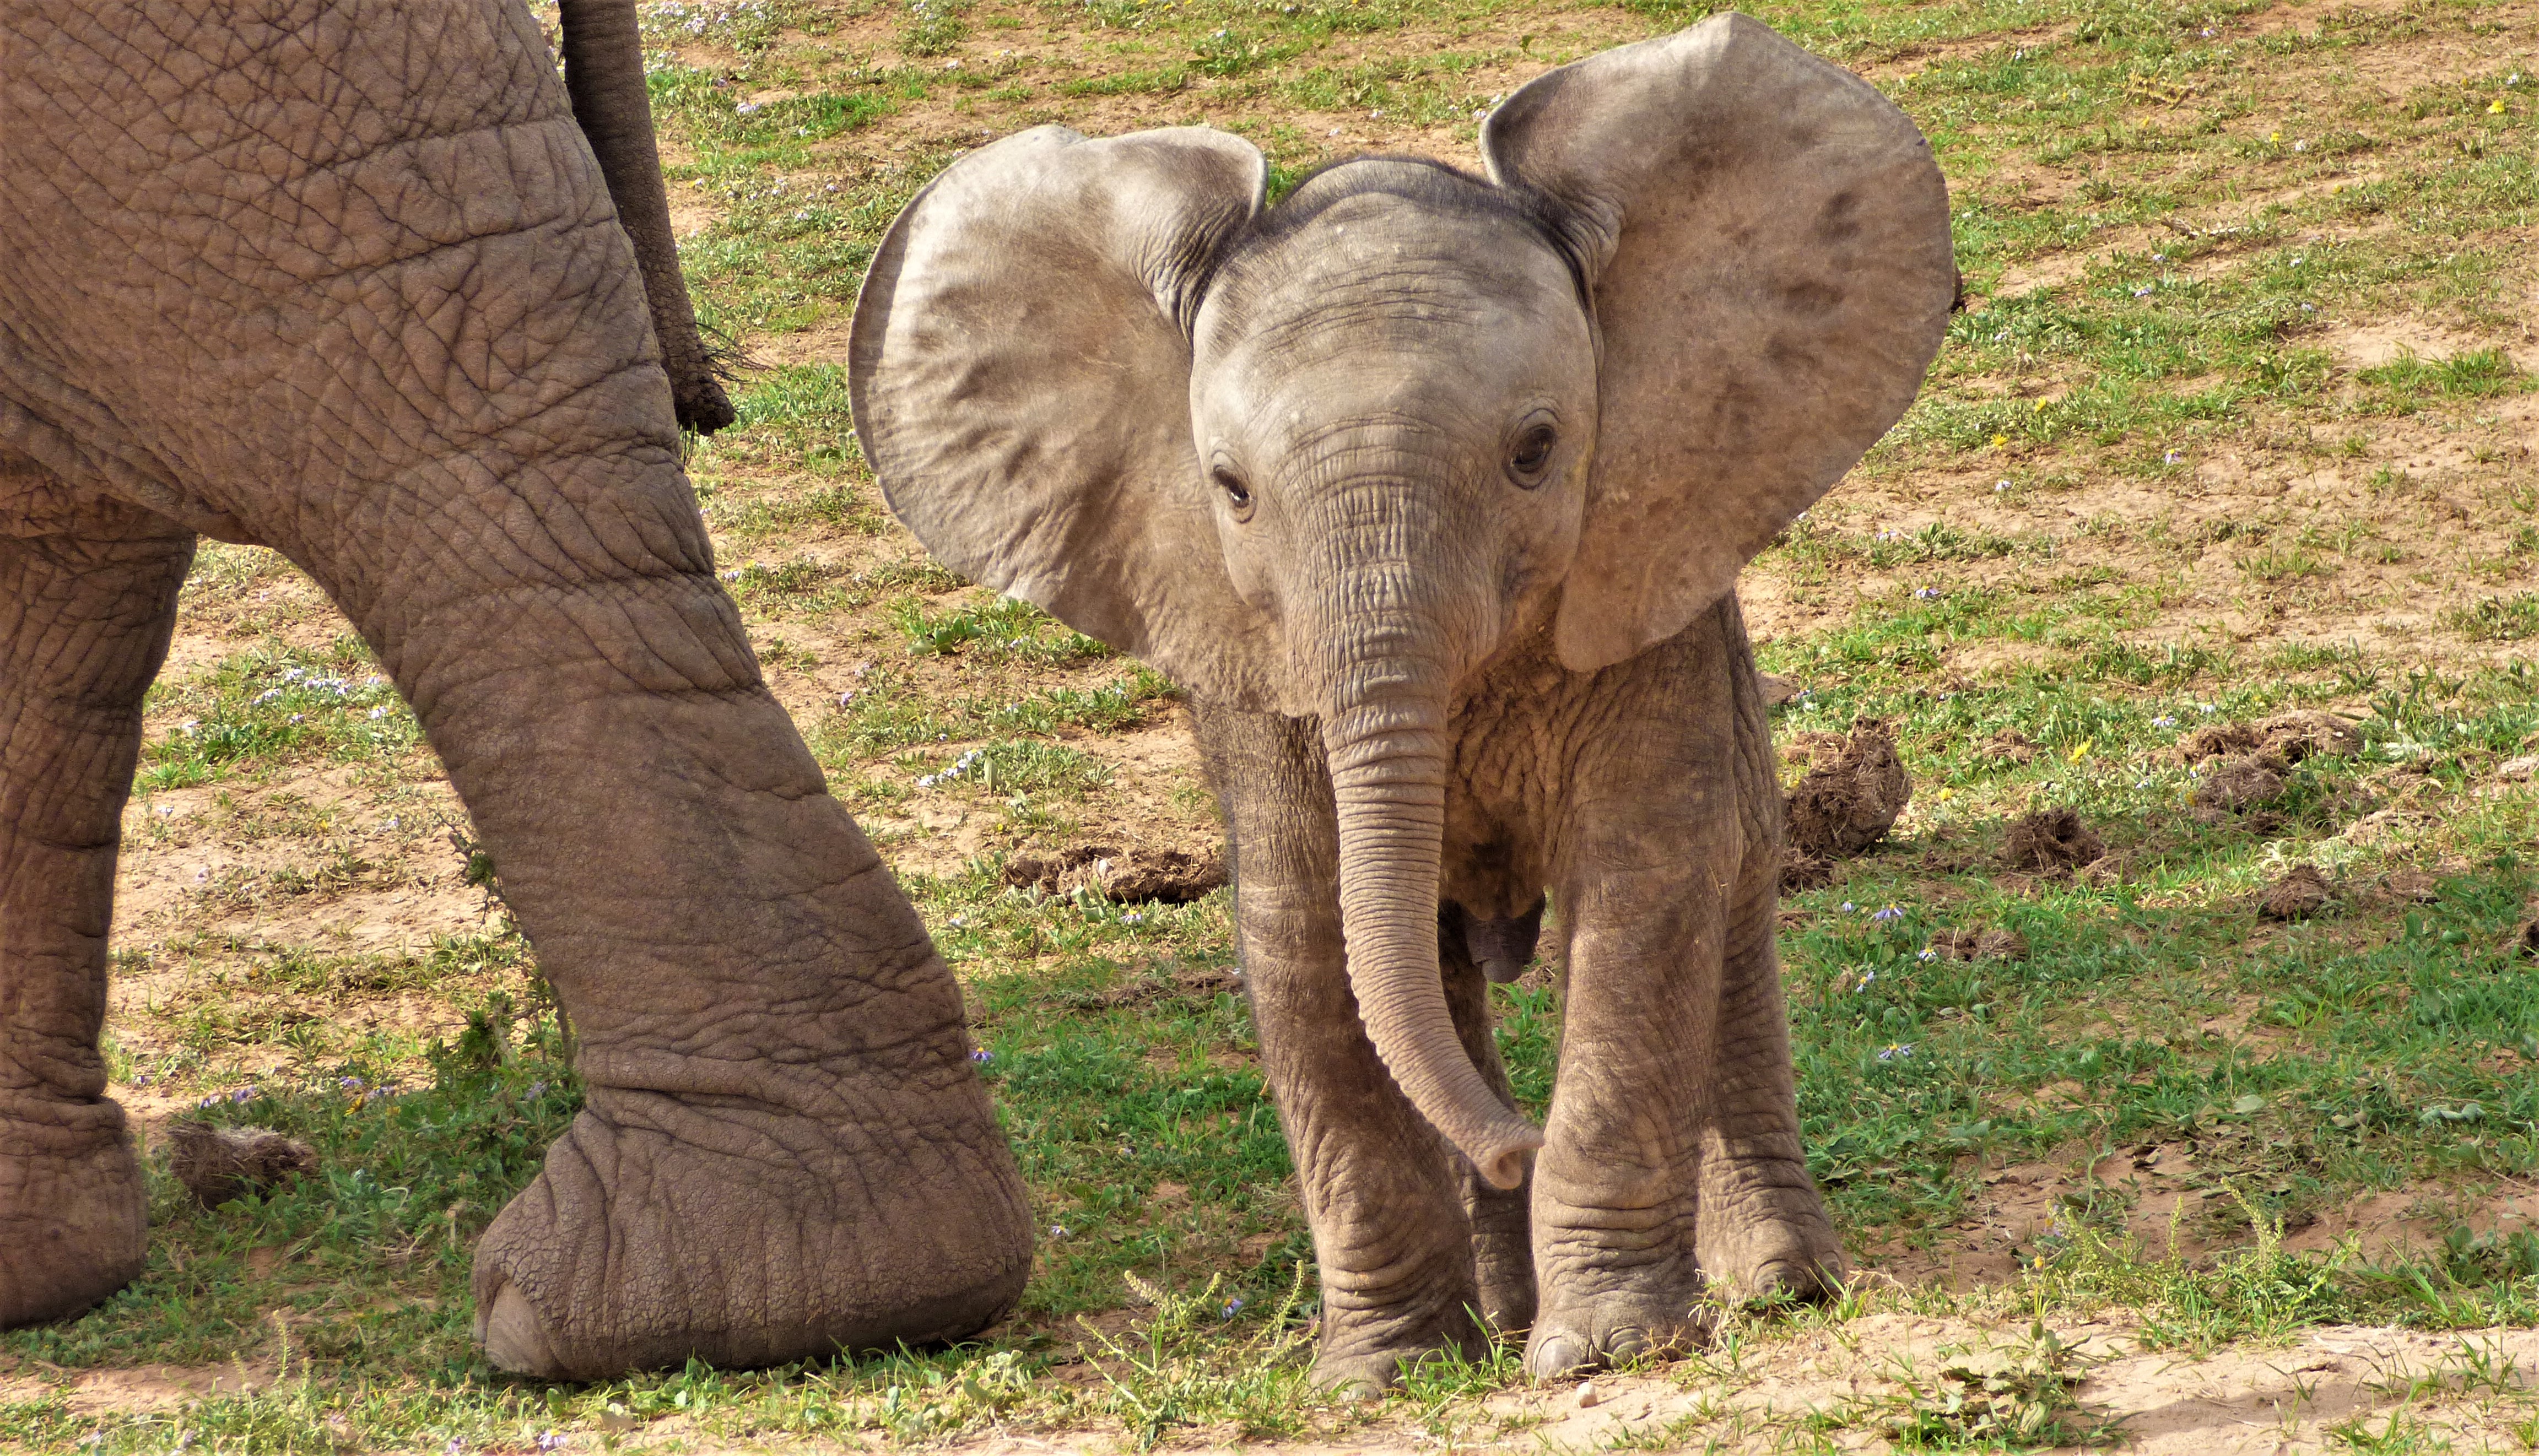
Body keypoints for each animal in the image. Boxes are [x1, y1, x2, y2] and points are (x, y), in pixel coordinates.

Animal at [849, 13, 1955, 1390]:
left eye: (1537, 451)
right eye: (1229, 488)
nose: (1518, 1143)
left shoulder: (1644, 588)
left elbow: (1646, 894)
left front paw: (1599, 1351)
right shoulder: (1252, 658)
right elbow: (1308, 926)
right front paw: (1385, 1370)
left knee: (1732, 891)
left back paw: (1774, 1287)